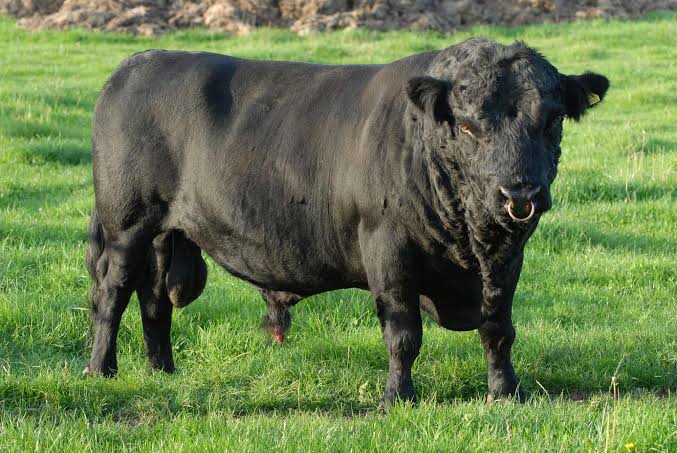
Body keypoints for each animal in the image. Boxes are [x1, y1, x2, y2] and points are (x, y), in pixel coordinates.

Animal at [85, 38, 608, 405]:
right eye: (466, 125)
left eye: (552, 120)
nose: (519, 194)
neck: (470, 243)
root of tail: (137, 64)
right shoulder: (389, 252)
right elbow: (403, 335)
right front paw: (399, 397)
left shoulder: (507, 260)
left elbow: (498, 328)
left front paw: (506, 391)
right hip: (126, 226)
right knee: (113, 294)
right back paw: (100, 369)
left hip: (165, 234)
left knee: (154, 299)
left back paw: (161, 369)